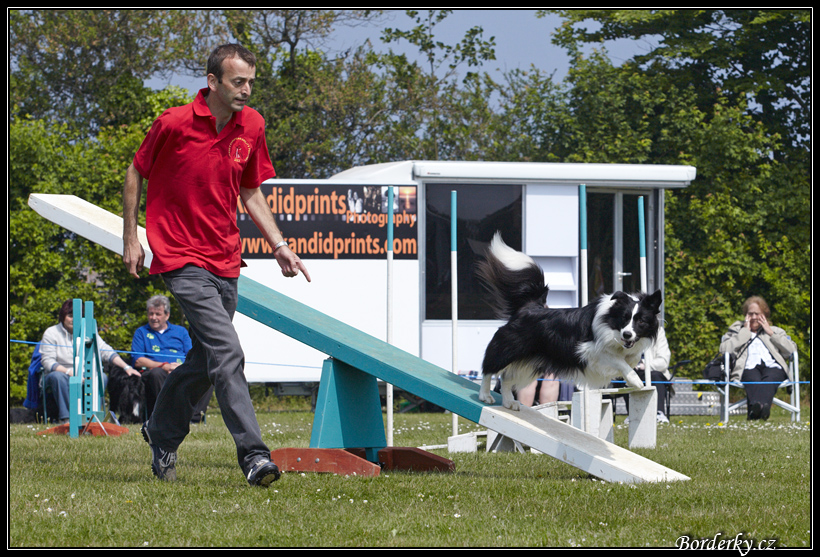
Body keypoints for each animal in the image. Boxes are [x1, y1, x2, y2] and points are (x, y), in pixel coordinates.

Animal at [478, 232, 664, 410]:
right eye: (624, 318)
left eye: (641, 321)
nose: (627, 335)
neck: (612, 326)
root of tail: (529, 306)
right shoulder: (590, 351)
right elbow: (619, 361)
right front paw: (635, 380)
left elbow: (631, 359)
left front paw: (631, 373)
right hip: (510, 347)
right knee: (490, 366)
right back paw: (485, 395)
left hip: (529, 364)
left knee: (507, 378)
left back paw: (509, 402)